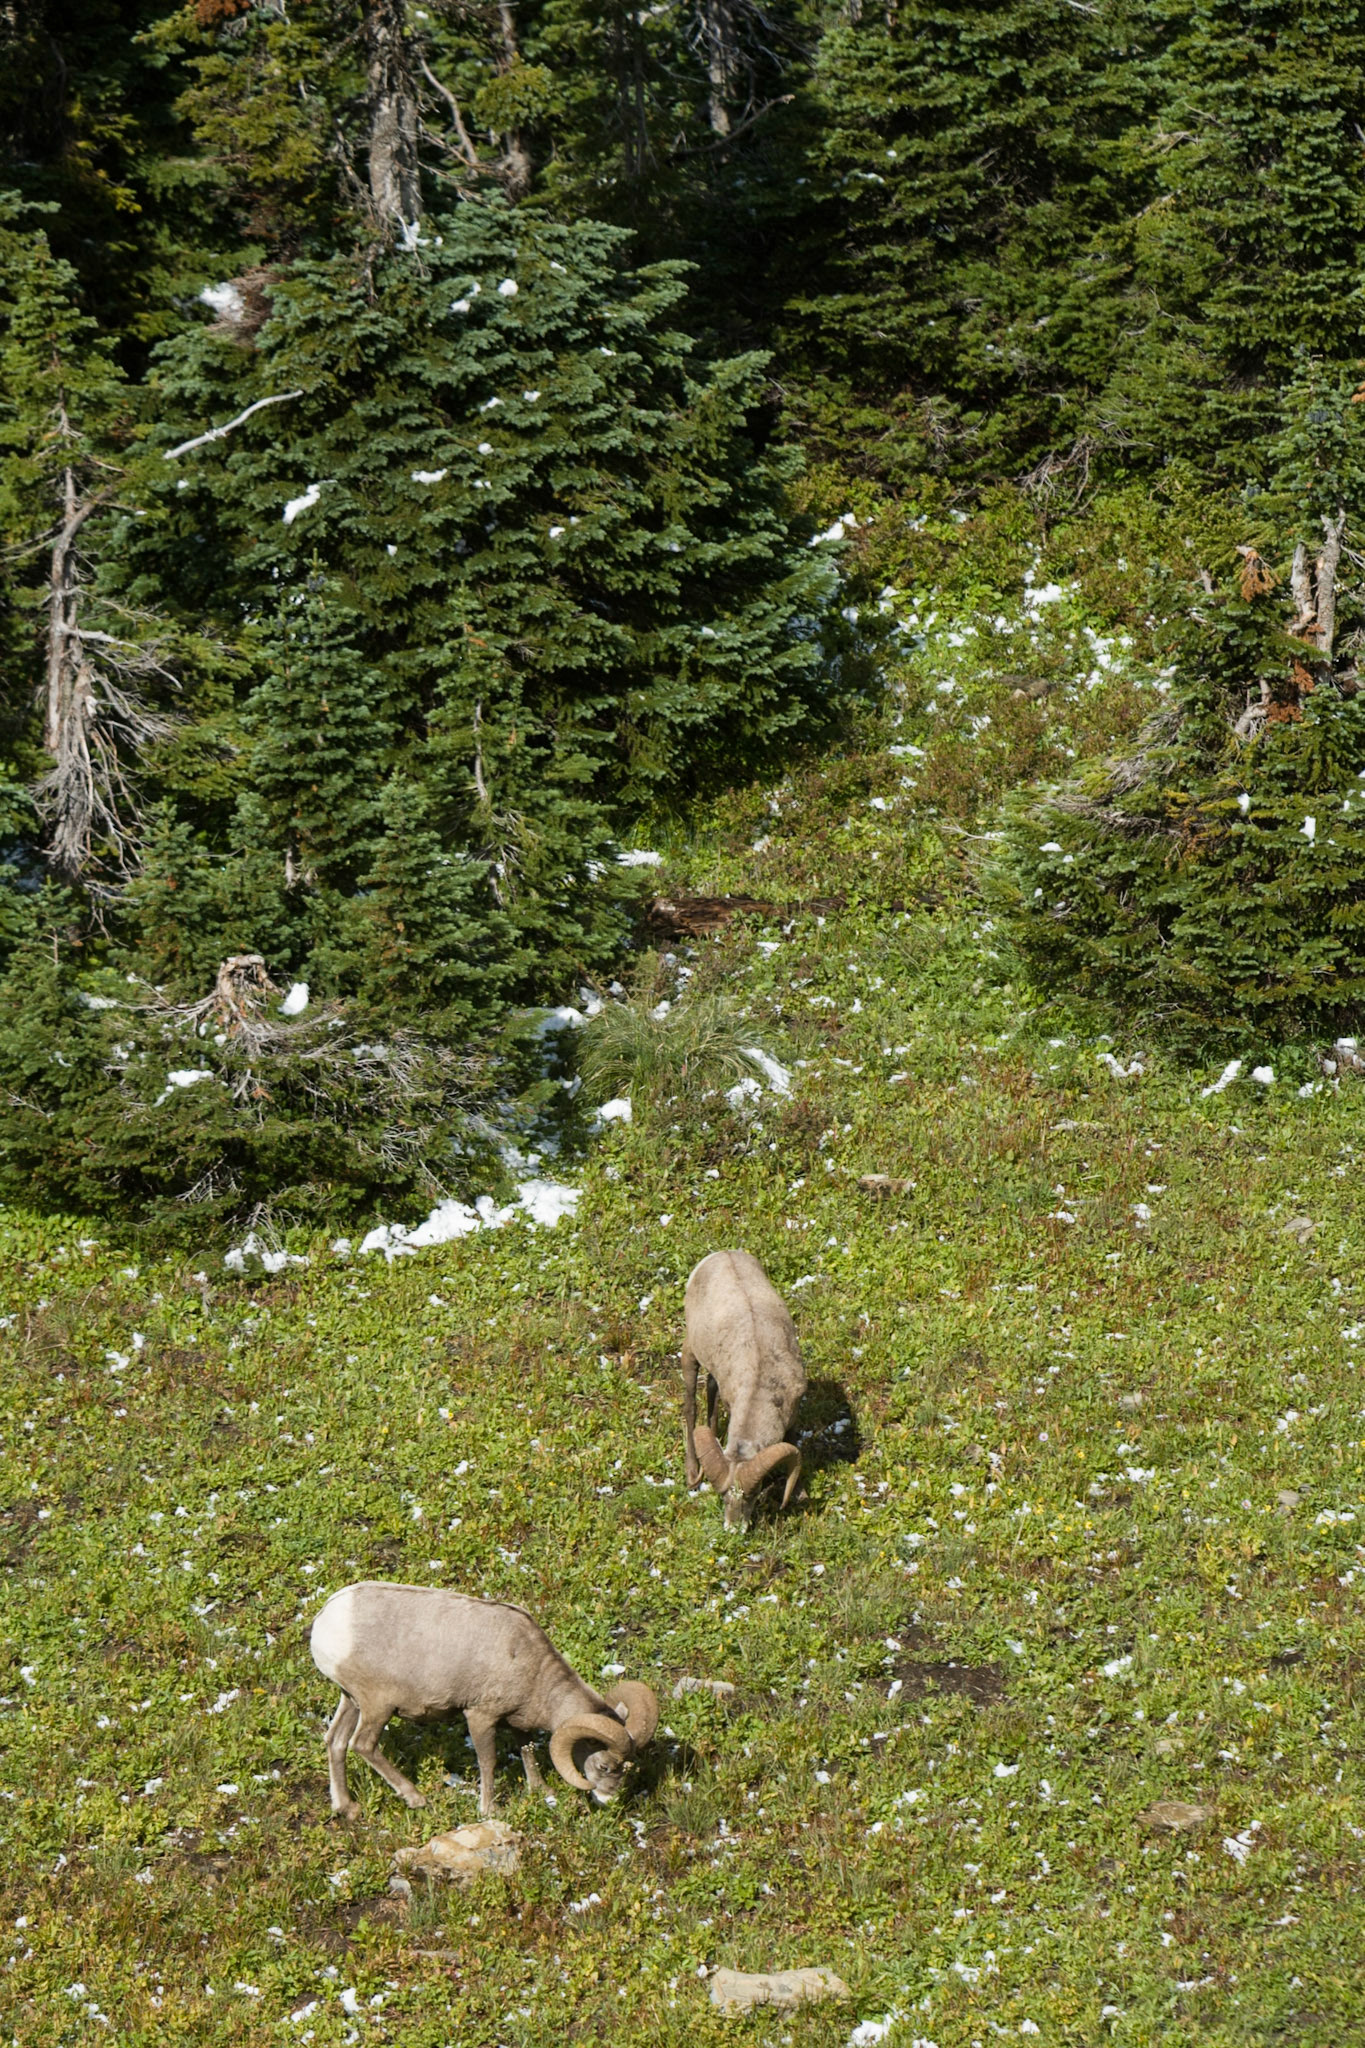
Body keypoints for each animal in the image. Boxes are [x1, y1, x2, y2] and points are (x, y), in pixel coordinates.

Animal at [310, 1582, 659, 1820]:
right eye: (604, 1765)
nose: (609, 1800)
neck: (531, 1666)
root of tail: (325, 1621)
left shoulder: (518, 1723)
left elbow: (527, 1751)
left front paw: (541, 1792)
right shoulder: (480, 1717)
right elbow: (488, 1762)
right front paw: (489, 1810)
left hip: (352, 1701)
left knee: (336, 1741)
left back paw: (347, 1808)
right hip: (377, 1707)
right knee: (363, 1745)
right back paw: (415, 1798)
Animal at [681, 1249, 806, 1528]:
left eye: (754, 1492)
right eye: (724, 1496)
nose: (733, 1529)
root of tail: (720, 1255)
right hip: (690, 1352)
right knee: (690, 1407)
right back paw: (692, 1475)